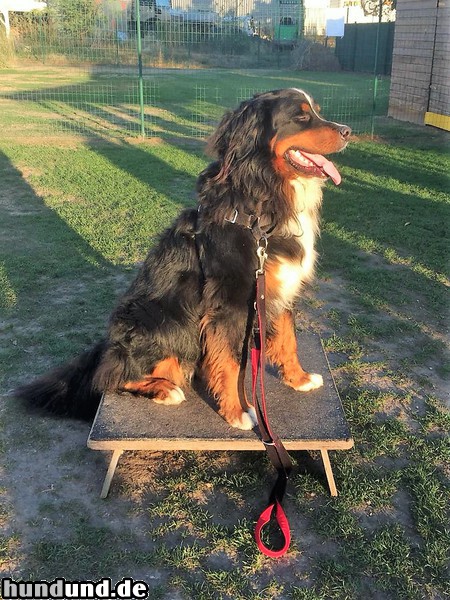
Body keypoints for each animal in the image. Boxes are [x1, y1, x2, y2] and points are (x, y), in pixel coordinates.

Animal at [14, 88, 352, 432]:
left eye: (317, 111)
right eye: (301, 116)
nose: (347, 132)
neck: (261, 203)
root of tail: (106, 346)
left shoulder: (281, 288)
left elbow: (287, 339)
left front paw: (298, 379)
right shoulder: (232, 302)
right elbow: (233, 363)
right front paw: (237, 411)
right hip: (158, 321)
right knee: (110, 377)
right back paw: (165, 389)